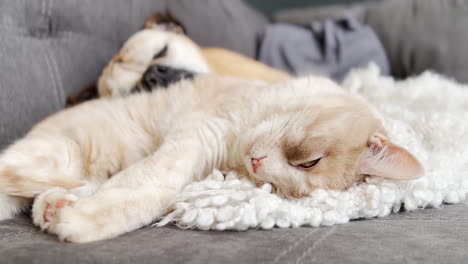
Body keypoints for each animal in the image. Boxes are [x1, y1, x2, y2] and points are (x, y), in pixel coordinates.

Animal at [0, 75, 424, 243]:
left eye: (272, 188)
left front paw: (70, 211)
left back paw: (55, 203)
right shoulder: (196, 134)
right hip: (58, 151)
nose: (257, 164)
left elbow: (133, 187)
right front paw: (85, 218)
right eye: (309, 162)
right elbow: (149, 184)